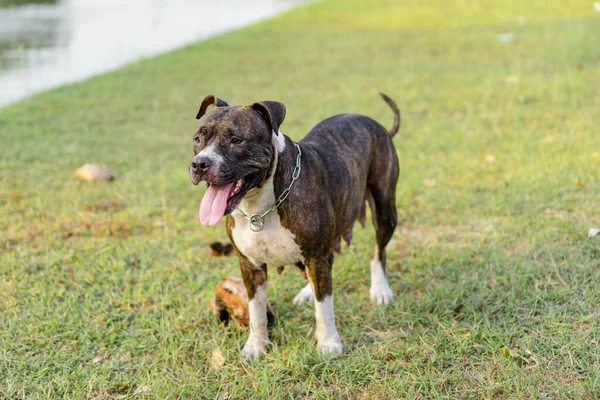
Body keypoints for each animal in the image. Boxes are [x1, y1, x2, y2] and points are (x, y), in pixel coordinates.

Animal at [190, 94, 400, 360]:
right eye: (198, 139)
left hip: (385, 212)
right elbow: (256, 309)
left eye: (236, 140)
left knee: (377, 252)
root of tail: (377, 125)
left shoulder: (317, 254)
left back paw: (380, 289)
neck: (260, 206)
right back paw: (308, 291)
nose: (200, 163)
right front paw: (256, 345)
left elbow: (325, 307)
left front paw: (328, 343)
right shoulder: (250, 265)